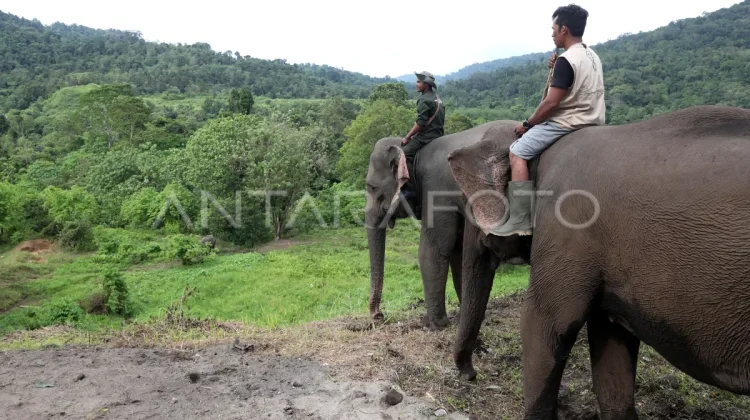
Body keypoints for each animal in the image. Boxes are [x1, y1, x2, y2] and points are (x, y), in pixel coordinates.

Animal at [365, 123, 532, 330]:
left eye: (372, 188)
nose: (379, 316)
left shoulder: (435, 189)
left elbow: (434, 249)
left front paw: (434, 325)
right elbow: (458, 250)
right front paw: (463, 316)